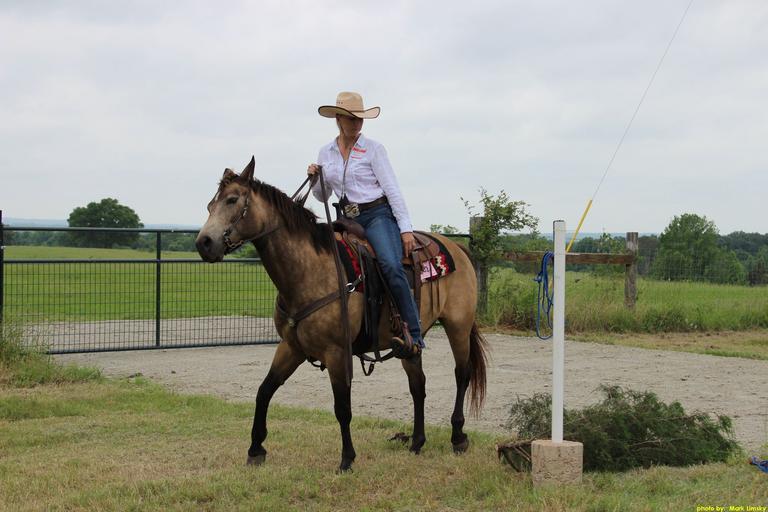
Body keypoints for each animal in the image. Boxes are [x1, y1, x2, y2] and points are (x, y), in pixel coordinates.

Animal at [195, 157, 488, 472]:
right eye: (210, 205)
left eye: (233, 200)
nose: (204, 243)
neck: (309, 273)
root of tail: (457, 247)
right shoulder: (291, 347)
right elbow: (265, 391)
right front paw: (255, 449)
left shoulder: (337, 352)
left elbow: (342, 407)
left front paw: (347, 458)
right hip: (411, 343)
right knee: (418, 385)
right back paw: (417, 442)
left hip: (458, 326)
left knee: (462, 374)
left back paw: (458, 436)